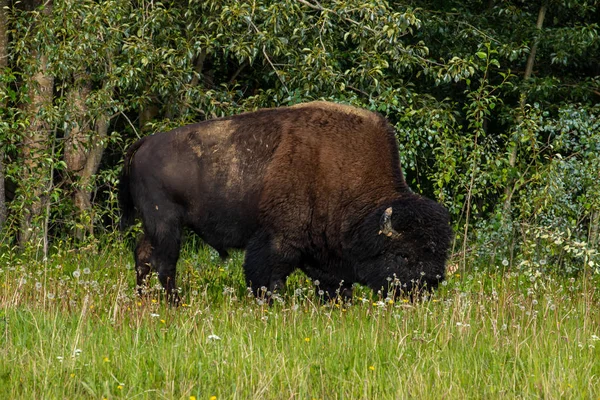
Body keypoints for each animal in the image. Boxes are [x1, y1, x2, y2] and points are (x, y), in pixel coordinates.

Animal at [119, 102, 452, 304]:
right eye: (405, 255)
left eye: (439, 254)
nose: (427, 288)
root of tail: (143, 143)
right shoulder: (277, 240)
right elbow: (265, 277)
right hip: (167, 225)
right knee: (165, 263)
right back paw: (174, 303)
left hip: (155, 227)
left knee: (143, 256)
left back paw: (144, 299)